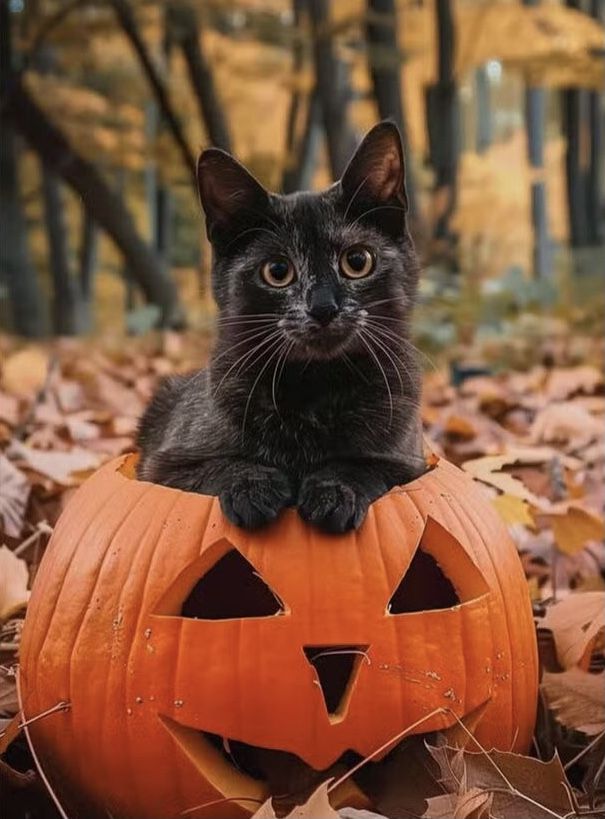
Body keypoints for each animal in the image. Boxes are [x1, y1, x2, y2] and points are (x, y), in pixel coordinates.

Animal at [138, 120, 424, 532]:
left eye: (357, 261)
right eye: (277, 271)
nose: (323, 307)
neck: (316, 389)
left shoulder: (410, 464)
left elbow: (363, 465)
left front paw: (334, 491)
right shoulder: (163, 466)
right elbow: (223, 464)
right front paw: (254, 488)